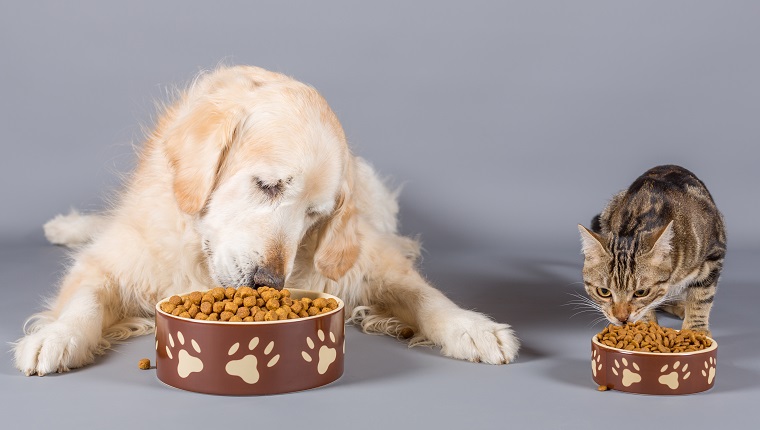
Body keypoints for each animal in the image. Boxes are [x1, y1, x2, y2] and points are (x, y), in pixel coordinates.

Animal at [11, 64, 516, 376]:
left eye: (315, 214)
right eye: (268, 185)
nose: (268, 282)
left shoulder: (368, 265)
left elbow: (425, 295)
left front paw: (474, 328)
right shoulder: (113, 262)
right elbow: (84, 300)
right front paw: (56, 338)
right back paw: (67, 226)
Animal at [580, 163, 728, 334]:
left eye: (641, 292)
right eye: (604, 292)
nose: (622, 318)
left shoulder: (714, 255)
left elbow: (701, 297)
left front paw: (695, 330)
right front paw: (645, 326)